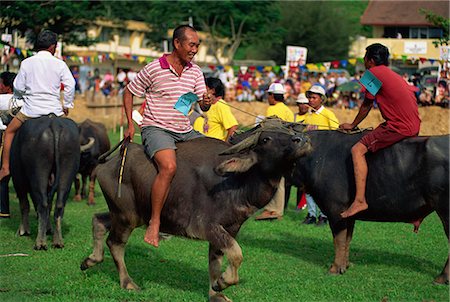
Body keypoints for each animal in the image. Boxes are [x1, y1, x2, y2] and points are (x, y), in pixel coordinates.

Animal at [10, 114, 84, 249]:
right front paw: (48, 229)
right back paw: (57, 241)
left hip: (38, 172)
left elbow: (24, 204)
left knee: (42, 204)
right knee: (59, 204)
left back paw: (40, 242)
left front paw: (23, 230)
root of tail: (54, 123)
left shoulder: (18, 181)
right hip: (67, 169)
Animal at [81, 121, 312, 302]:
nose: (302, 140)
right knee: (115, 243)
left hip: (127, 214)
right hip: (126, 216)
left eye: (288, 132)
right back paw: (127, 282)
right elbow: (237, 254)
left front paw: (217, 291)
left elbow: (216, 261)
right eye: (266, 139)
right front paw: (223, 282)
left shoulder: (229, 229)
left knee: (98, 220)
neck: (236, 181)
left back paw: (91, 259)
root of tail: (107, 163)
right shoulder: (204, 226)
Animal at [288, 131, 450, 284]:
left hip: (445, 211)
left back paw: (442, 278)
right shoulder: (349, 216)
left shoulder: (336, 210)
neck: (317, 154)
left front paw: (335, 268)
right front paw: (345, 265)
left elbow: (338, 239)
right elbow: (347, 239)